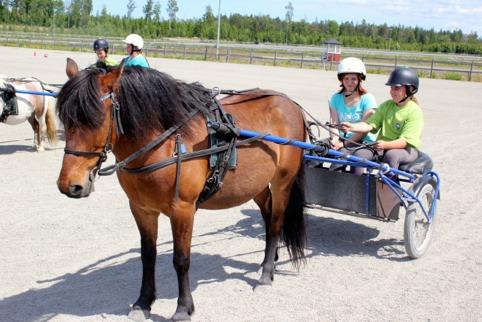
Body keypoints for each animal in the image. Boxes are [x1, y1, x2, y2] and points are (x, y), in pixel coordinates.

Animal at [55, 59, 306, 320]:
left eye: (95, 119)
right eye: (65, 118)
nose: (69, 185)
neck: (166, 144)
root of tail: (291, 104)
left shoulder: (182, 210)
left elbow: (181, 259)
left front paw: (183, 307)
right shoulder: (142, 209)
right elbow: (148, 256)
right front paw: (143, 302)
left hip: (282, 182)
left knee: (276, 222)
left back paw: (266, 273)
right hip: (255, 184)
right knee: (267, 215)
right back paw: (271, 258)